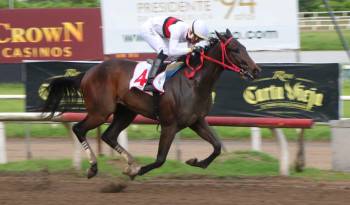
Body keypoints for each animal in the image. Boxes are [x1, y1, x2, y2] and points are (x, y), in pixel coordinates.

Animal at [41, 28, 260, 179]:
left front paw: (195, 161)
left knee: (109, 135)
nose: (256, 70)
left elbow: (217, 146)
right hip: (100, 111)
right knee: (79, 129)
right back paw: (94, 167)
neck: (194, 82)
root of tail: (87, 73)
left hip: (125, 112)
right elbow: (160, 159)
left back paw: (130, 162)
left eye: (244, 47)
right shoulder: (169, 124)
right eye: (234, 49)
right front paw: (136, 172)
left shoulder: (197, 121)